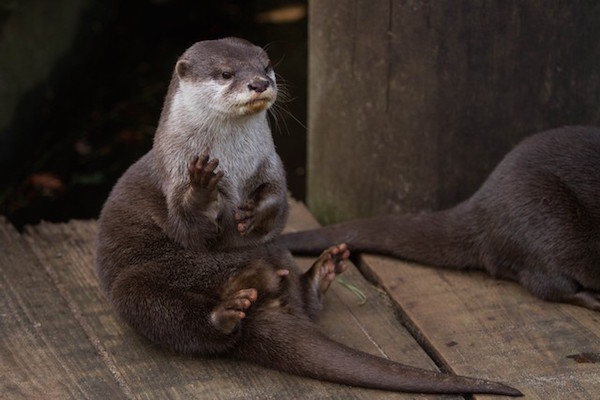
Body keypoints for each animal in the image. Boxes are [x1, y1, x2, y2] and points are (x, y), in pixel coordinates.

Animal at [94, 38, 520, 396]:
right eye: (226, 73)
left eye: (266, 66)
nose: (259, 83)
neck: (231, 163)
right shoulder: (174, 175)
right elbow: (190, 226)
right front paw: (202, 187)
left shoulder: (270, 165)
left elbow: (277, 204)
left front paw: (255, 211)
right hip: (136, 288)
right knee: (173, 317)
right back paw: (227, 311)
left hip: (275, 251)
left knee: (295, 290)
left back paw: (319, 273)